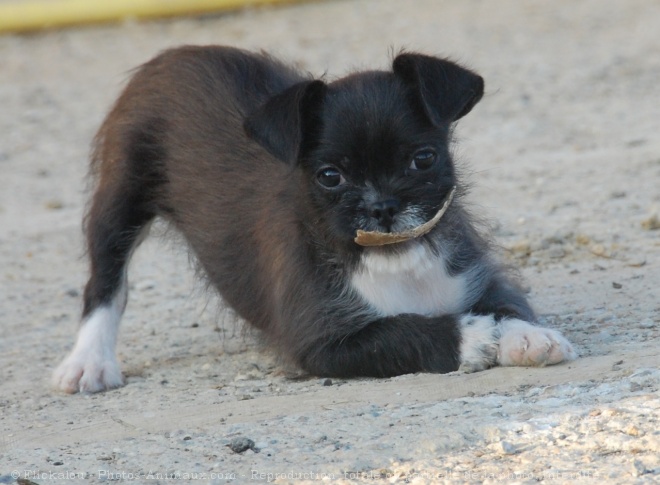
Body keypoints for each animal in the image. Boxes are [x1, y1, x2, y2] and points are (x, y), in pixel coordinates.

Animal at [52, 45, 576, 394]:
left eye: (423, 159)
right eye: (330, 176)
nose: (382, 207)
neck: (393, 261)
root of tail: (168, 56)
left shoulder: (475, 276)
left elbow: (506, 303)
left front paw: (528, 335)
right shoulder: (322, 343)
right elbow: (403, 332)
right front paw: (476, 336)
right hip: (119, 200)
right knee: (105, 281)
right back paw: (89, 361)